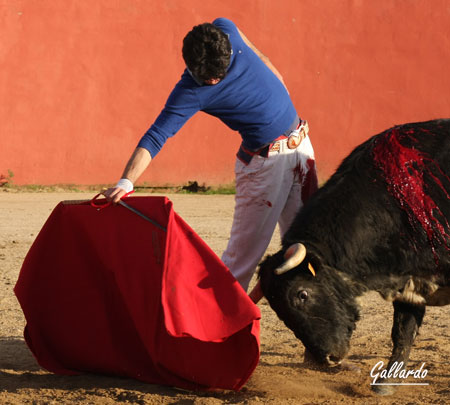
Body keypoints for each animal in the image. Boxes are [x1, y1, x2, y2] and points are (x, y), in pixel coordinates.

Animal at [258, 118, 448, 392]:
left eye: (302, 294)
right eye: (277, 309)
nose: (328, 358)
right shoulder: (410, 280)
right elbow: (403, 331)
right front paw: (386, 382)